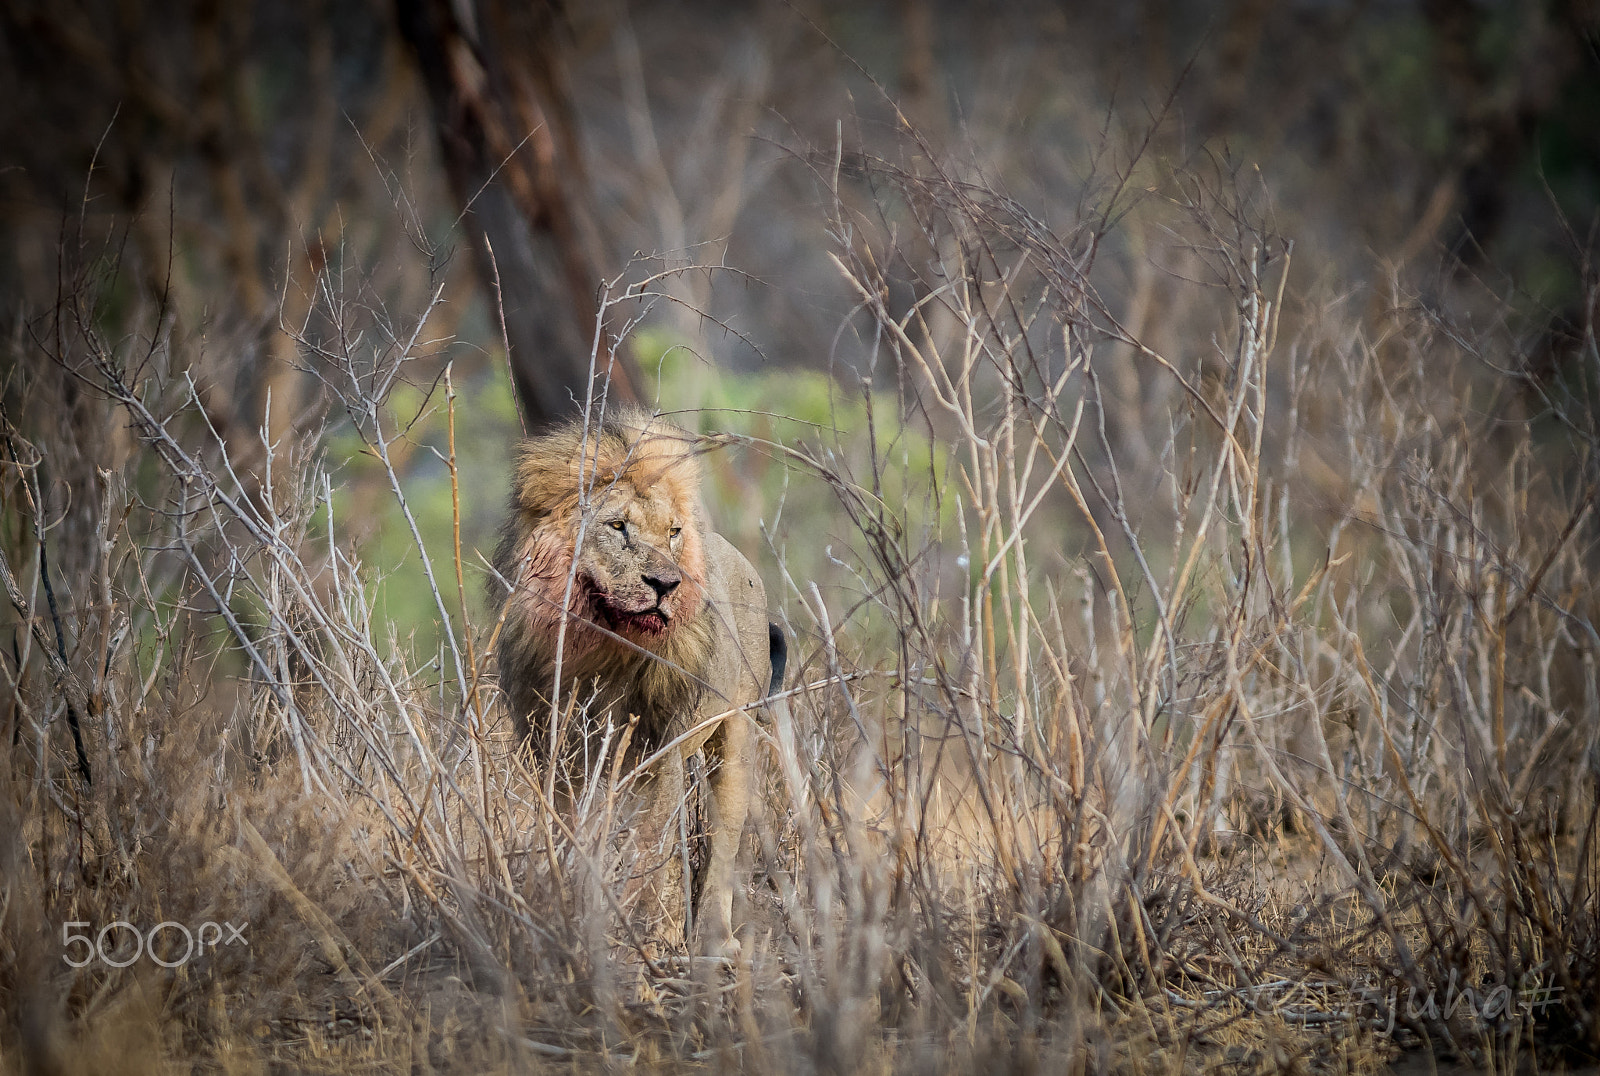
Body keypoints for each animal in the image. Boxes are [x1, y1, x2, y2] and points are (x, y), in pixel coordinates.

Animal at [489, 405, 784, 960]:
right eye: (617, 526)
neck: (602, 648)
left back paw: (710, 939)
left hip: (733, 736)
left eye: (672, 532)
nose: (666, 584)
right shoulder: (552, 747)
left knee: (721, 839)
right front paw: (572, 905)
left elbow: (651, 842)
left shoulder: (663, 746)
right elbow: (569, 830)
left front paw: (639, 932)